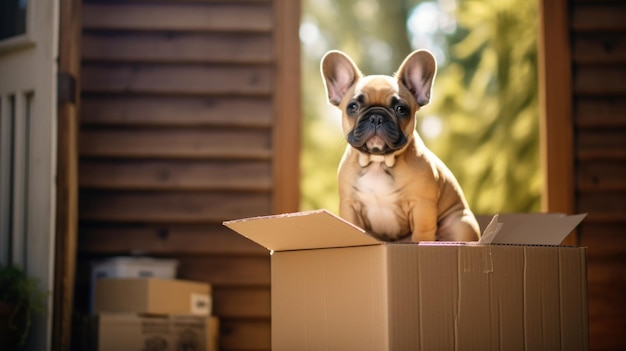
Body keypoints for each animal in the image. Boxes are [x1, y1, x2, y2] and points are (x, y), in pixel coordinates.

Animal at [320, 49, 480, 242]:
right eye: (353, 107)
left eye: (401, 109)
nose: (376, 117)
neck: (378, 162)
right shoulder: (350, 206)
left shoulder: (422, 206)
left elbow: (422, 233)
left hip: (461, 224)